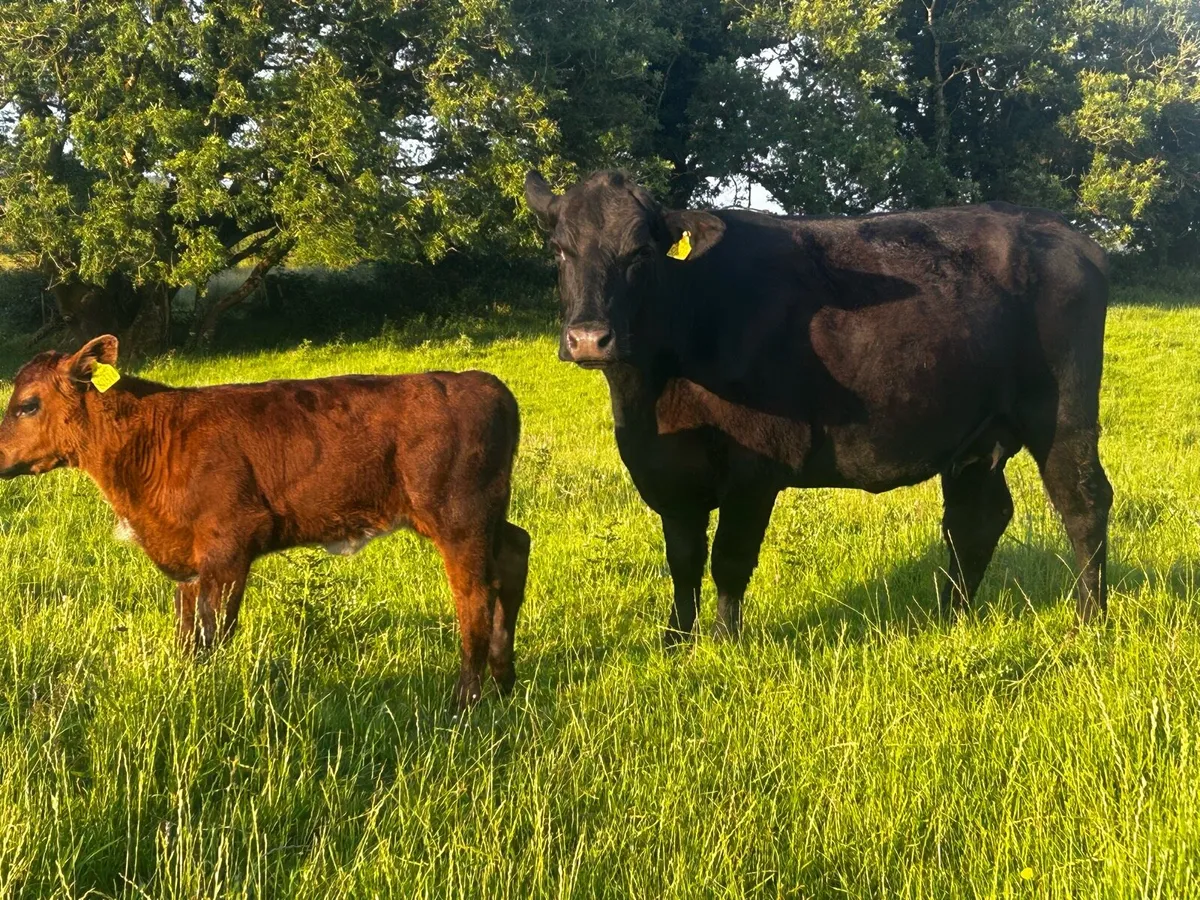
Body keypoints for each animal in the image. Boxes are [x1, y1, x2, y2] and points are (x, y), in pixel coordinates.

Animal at [0, 335, 531, 707]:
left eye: (27, 404)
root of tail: (480, 381)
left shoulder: (228, 545)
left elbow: (212, 632)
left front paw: (208, 700)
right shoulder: (189, 560)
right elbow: (186, 634)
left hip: (460, 518)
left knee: (474, 595)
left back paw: (464, 703)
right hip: (489, 517)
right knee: (515, 554)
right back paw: (504, 682)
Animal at [525, 169, 1112, 644]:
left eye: (640, 254)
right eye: (559, 249)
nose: (588, 338)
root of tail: (1065, 233)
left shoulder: (754, 468)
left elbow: (729, 560)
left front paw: (723, 644)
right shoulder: (670, 473)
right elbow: (683, 562)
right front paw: (675, 642)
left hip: (1062, 413)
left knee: (1083, 502)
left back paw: (1088, 620)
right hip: (978, 432)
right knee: (977, 517)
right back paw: (952, 616)